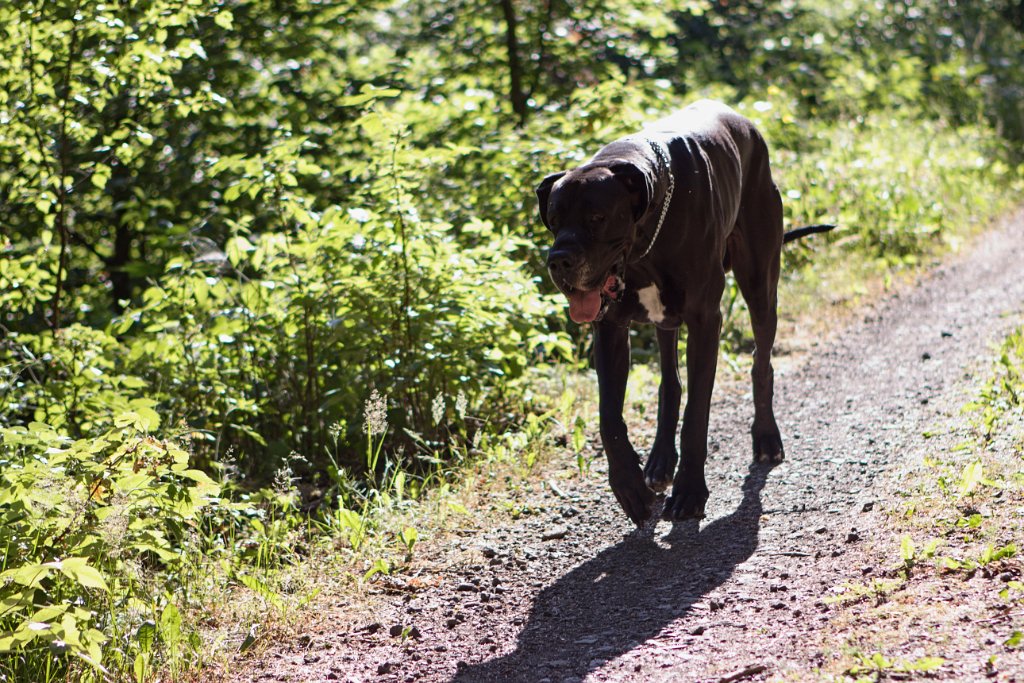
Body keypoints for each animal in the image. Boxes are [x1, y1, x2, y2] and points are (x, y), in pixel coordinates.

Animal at [536, 98, 831, 524]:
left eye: (597, 218)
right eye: (554, 221)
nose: (558, 261)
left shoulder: (706, 320)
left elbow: (696, 414)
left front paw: (690, 490)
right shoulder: (609, 328)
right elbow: (610, 415)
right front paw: (629, 486)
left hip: (760, 284)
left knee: (761, 362)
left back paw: (765, 435)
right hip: (665, 318)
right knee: (670, 383)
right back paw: (660, 461)